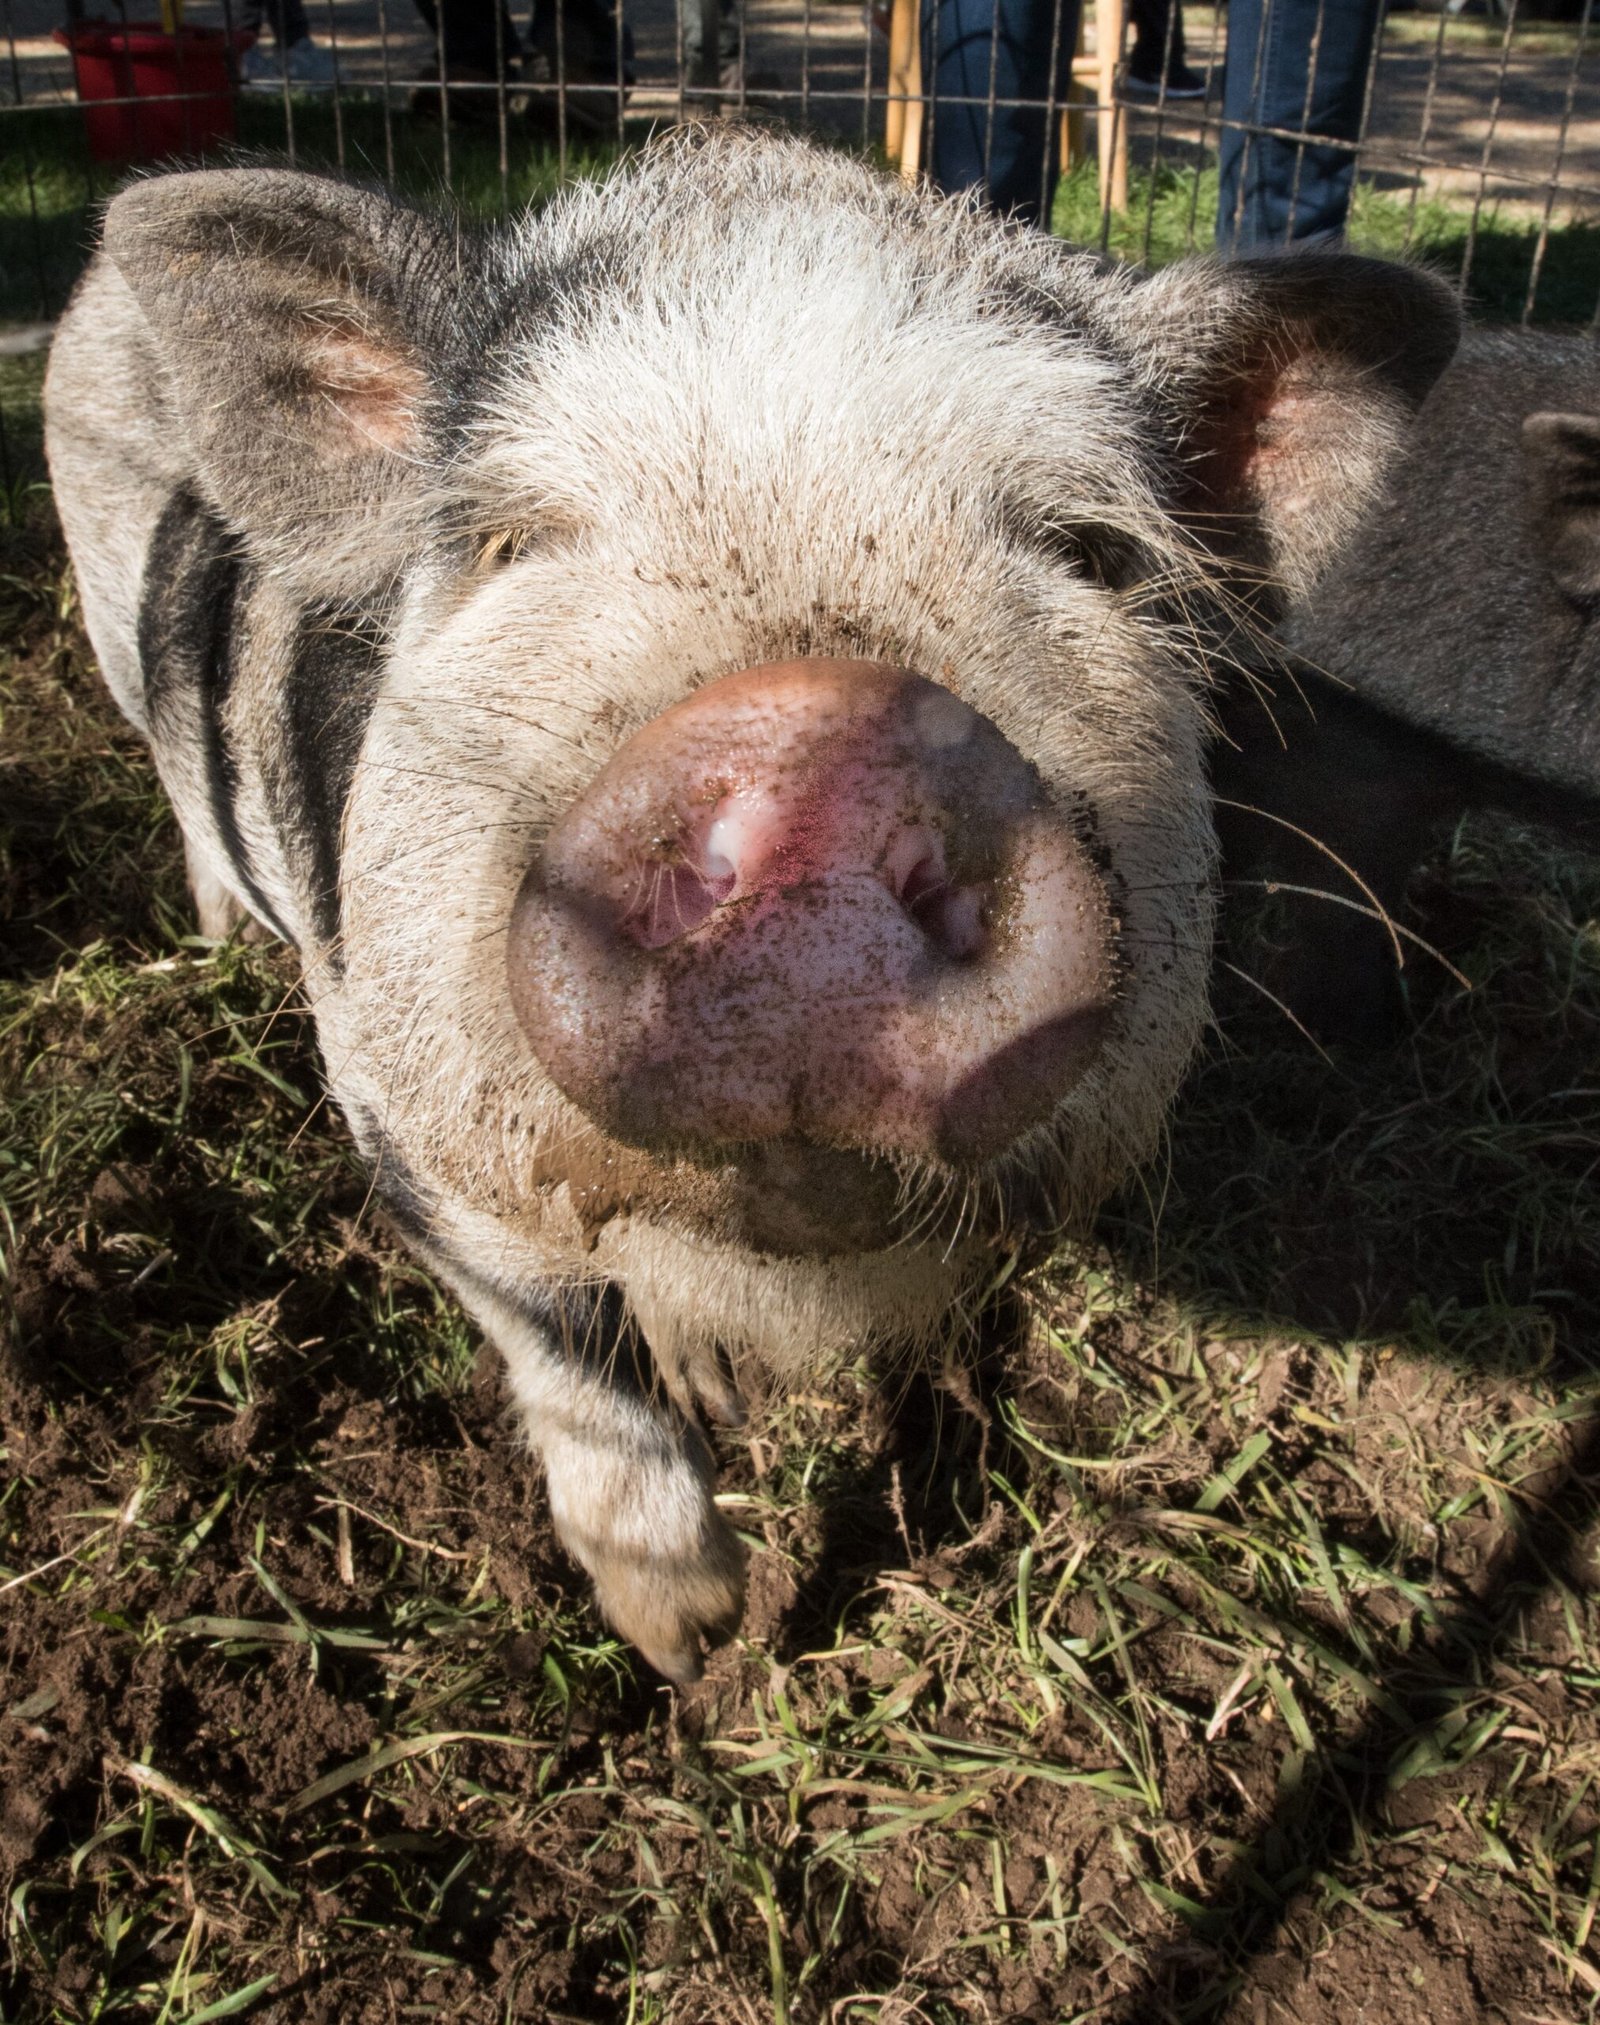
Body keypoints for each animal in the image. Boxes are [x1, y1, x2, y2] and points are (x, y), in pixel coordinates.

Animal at [44, 127, 1458, 1679]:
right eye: (509, 543)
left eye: (1090, 552)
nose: (822, 742)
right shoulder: (390, 1093)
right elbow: (570, 1355)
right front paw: (695, 1646)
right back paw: (218, 936)